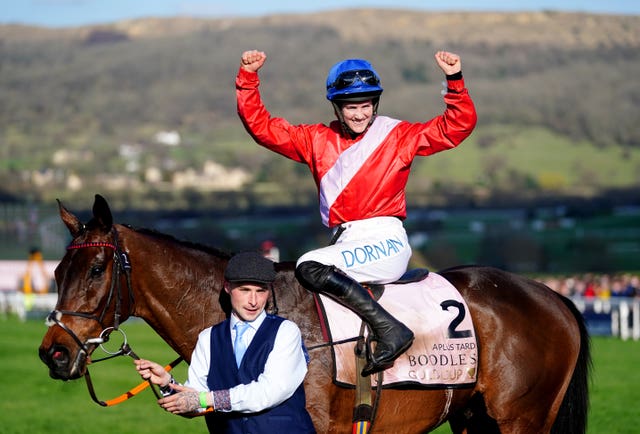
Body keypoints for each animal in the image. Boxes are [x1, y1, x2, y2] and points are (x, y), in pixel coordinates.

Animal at [40, 196, 592, 434]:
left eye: (95, 270)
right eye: (57, 272)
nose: (53, 353)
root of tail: (552, 296)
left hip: (521, 420)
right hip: (474, 419)